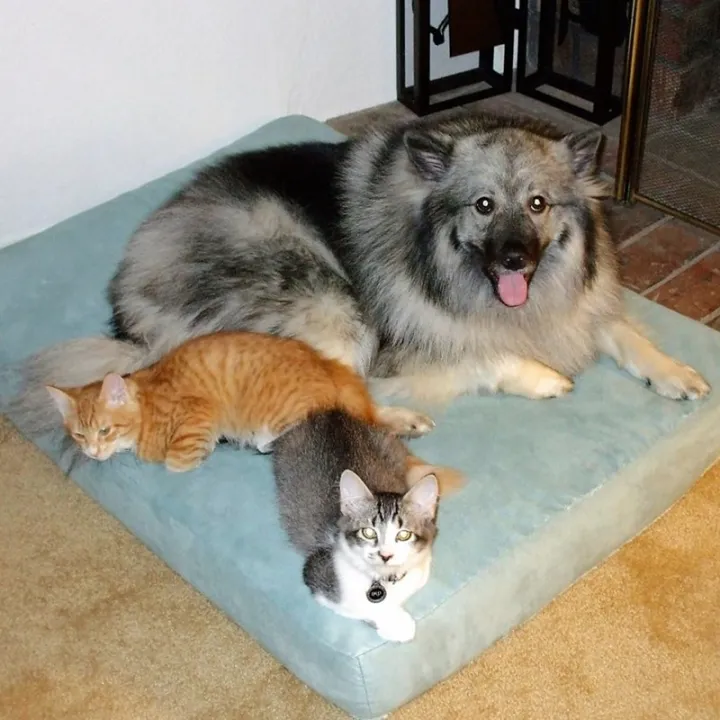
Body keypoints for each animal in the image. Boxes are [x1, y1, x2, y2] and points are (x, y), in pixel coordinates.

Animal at [10, 111, 710, 434]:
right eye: (484, 206)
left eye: (538, 204)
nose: (515, 259)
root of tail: (133, 327)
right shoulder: (413, 344)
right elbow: (485, 355)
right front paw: (540, 377)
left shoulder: (584, 305)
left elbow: (623, 332)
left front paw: (675, 372)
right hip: (331, 302)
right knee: (321, 398)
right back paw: (400, 421)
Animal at [44, 330, 447, 474]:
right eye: (79, 436)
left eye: (105, 431)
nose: (92, 452)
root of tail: (322, 364)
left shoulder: (198, 413)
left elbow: (175, 460)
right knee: (372, 417)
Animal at [273, 408, 444, 643]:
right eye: (368, 532)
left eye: (404, 535)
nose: (385, 555)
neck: (384, 579)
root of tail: (331, 413)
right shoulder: (318, 570)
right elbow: (359, 604)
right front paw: (398, 624)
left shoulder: (421, 566)